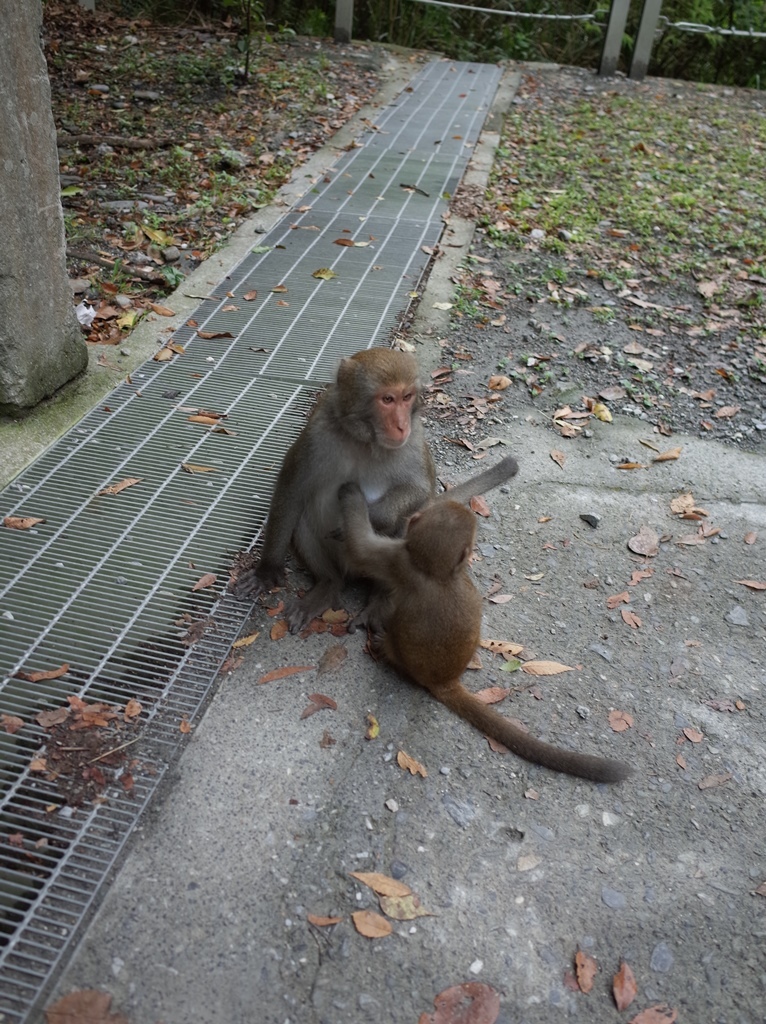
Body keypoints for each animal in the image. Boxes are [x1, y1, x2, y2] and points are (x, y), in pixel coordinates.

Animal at [337, 483, 630, 778]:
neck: (437, 573)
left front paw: (351, 494)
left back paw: (383, 647)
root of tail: (446, 681)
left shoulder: (398, 560)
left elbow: (360, 547)